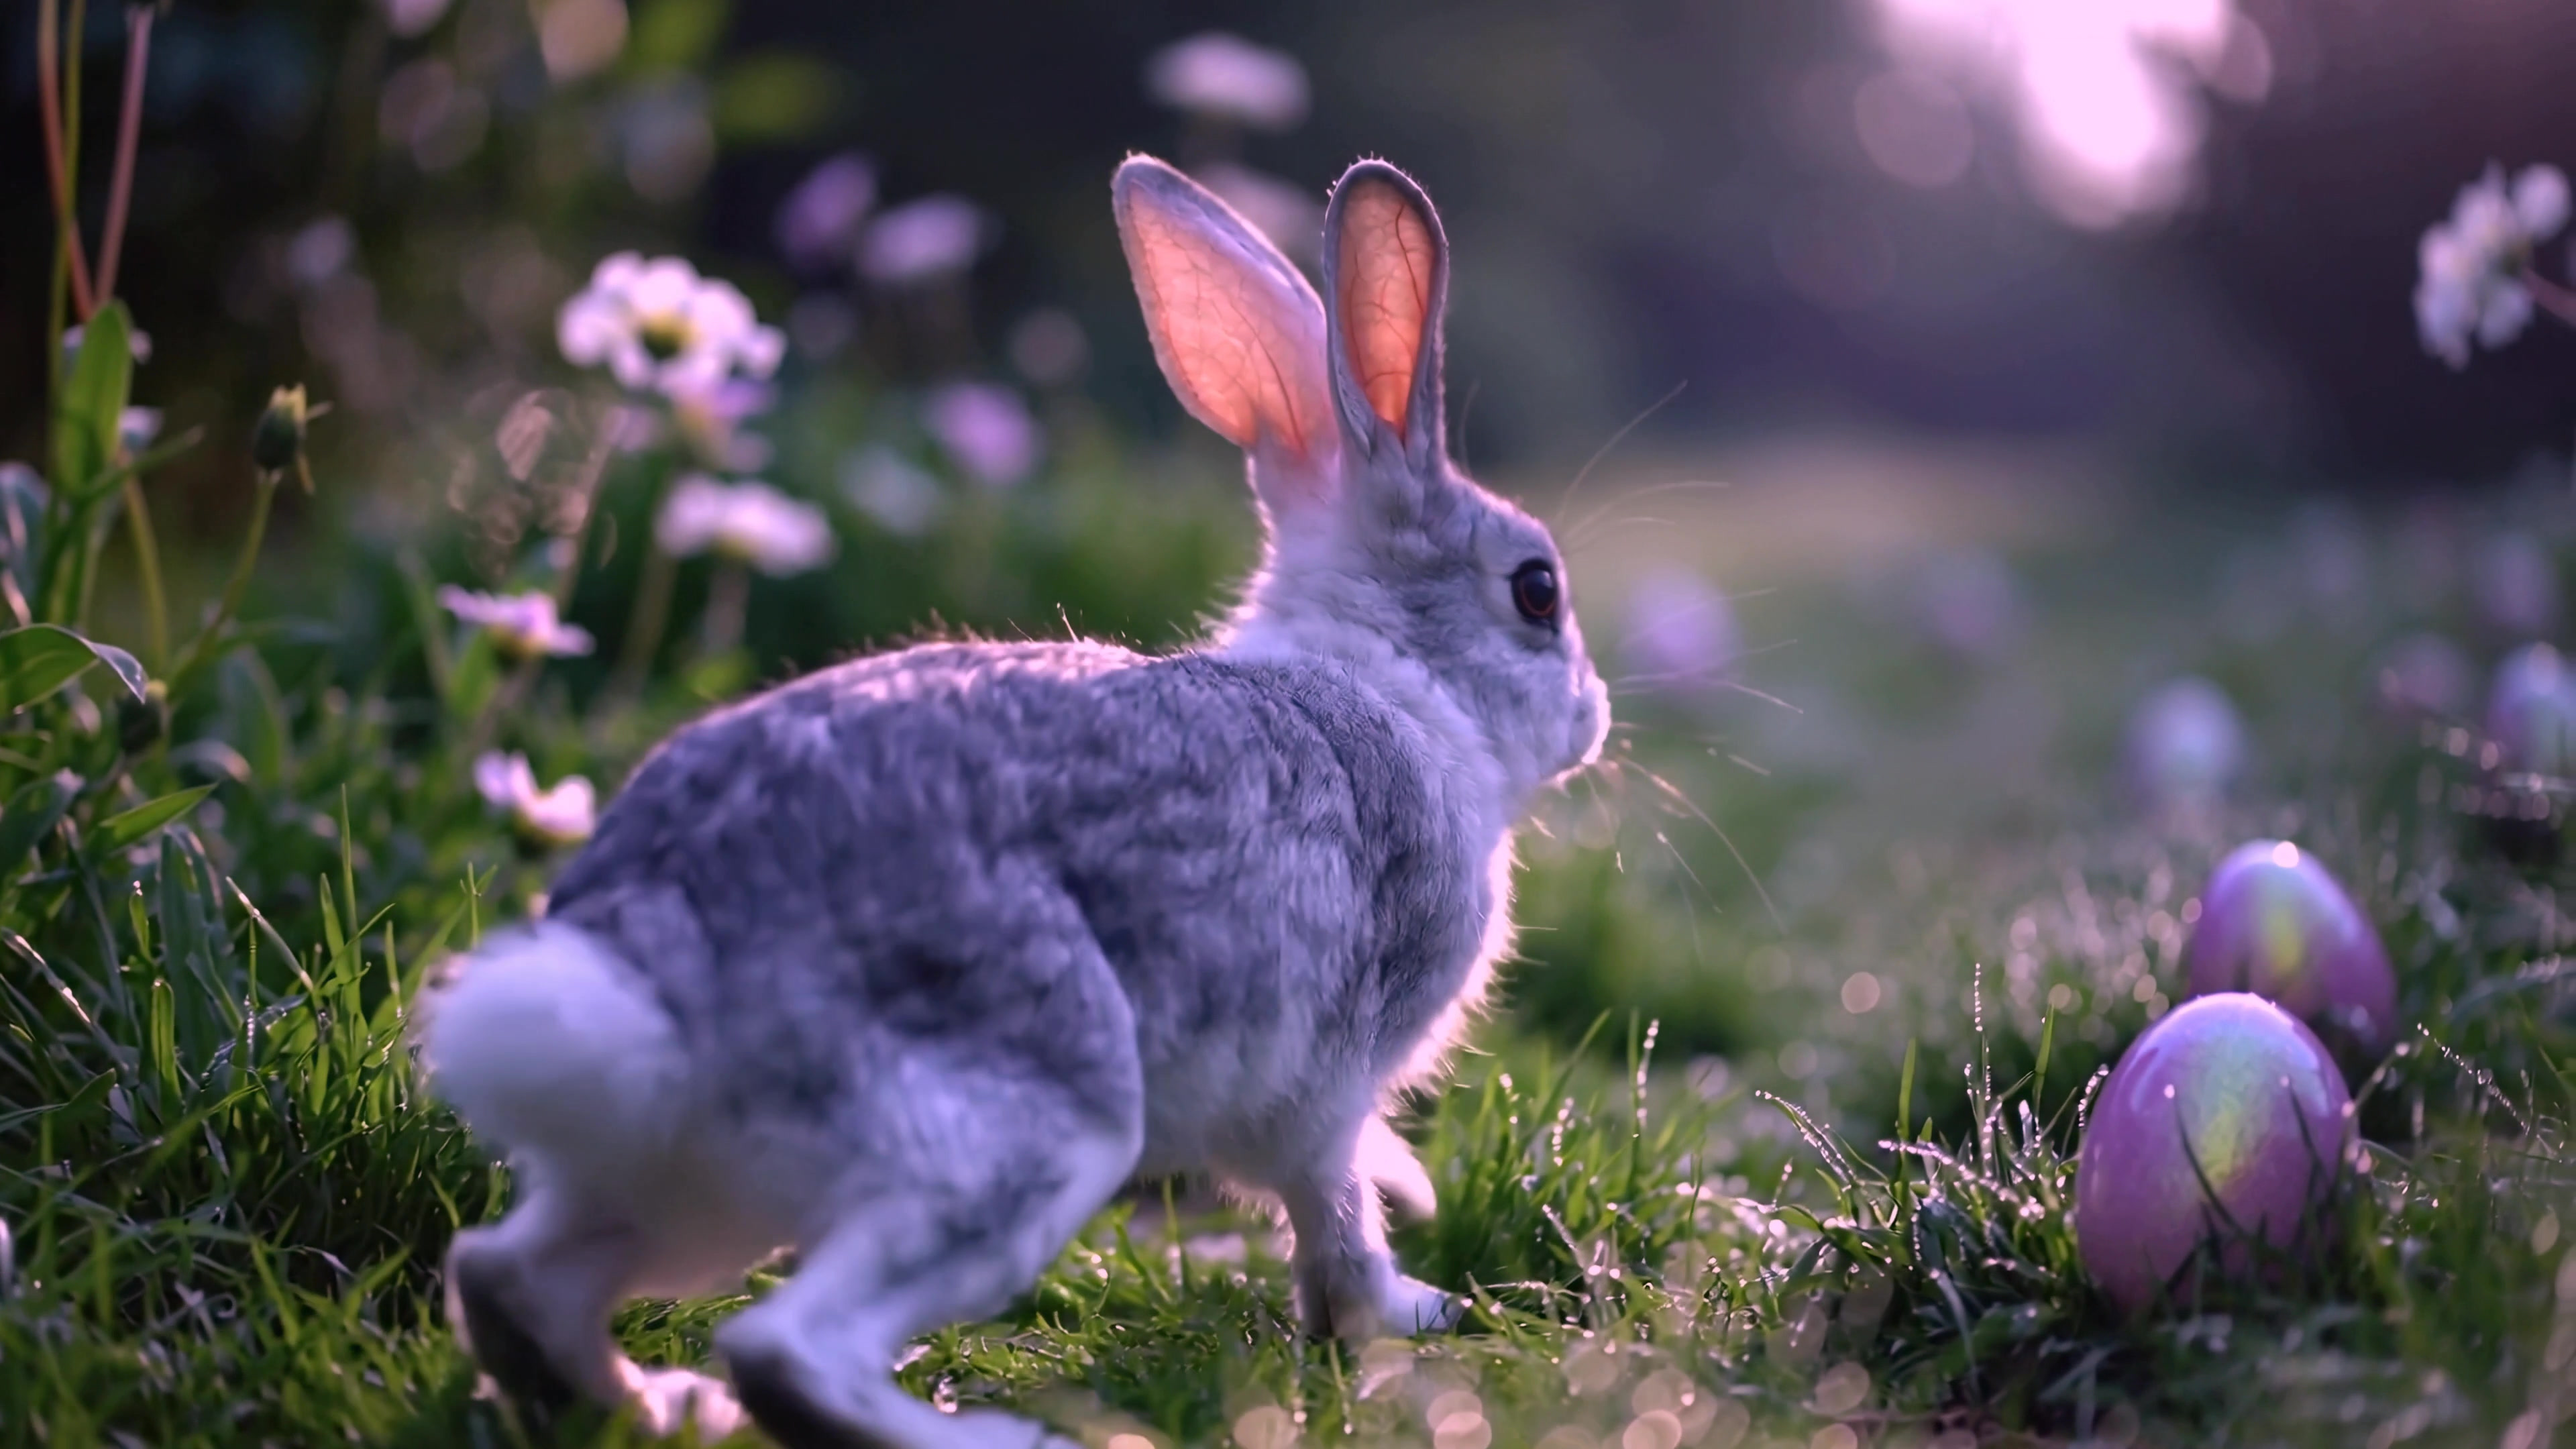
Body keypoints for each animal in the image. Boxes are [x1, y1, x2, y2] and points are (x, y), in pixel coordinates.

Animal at [416, 153, 1610, 1449]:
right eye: (1536, 591)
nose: (1594, 717)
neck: (1390, 676)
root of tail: (660, 977)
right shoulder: (1326, 1098)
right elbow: (1336, 1215)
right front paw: (1407, 1315)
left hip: (694, 1200)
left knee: (512, 1279)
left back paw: (649, 1403)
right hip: (1031, 1129)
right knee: (787, 1349)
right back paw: (985, 1436)